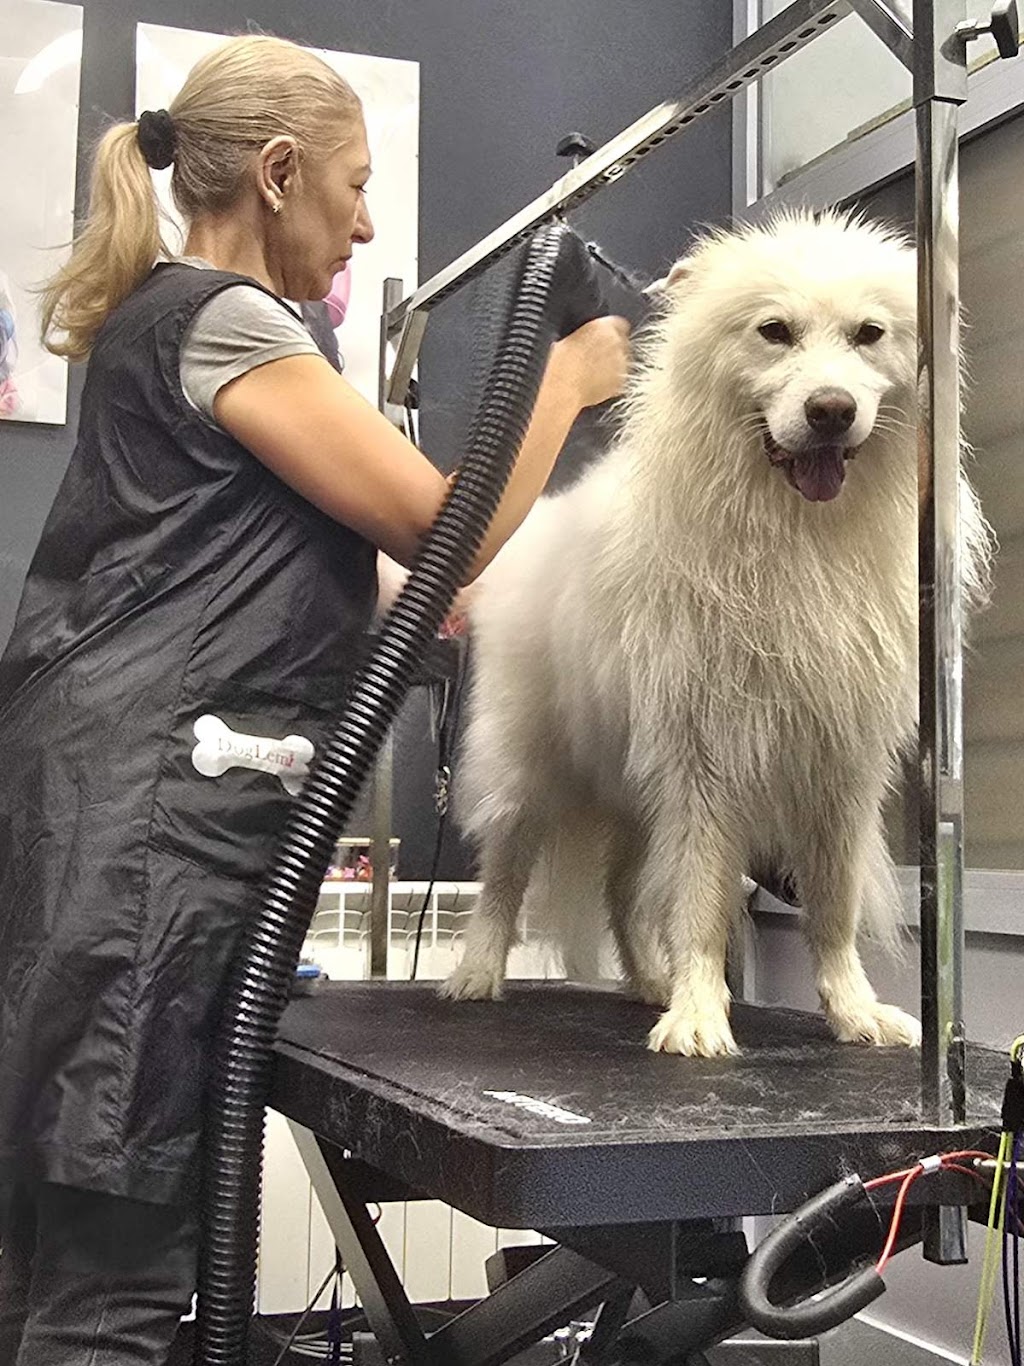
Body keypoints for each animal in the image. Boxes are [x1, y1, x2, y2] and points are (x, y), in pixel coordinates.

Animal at [441, 211, 991, 1058]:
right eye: (774, 331)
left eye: (870, 335)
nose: (831, 409)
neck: (798, 535)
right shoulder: (706, 757)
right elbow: (699, 899)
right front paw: (700, 1015)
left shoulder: (841, 763)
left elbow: (831, 906)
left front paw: (854, 1011)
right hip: (530, 766)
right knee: (504, 875)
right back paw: (477, 973)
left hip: (633, 790)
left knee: (621, 891)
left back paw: (646, 981)